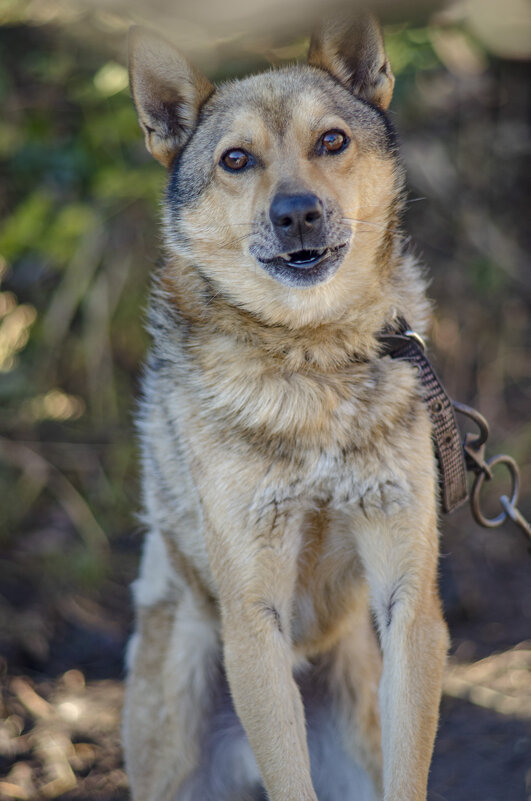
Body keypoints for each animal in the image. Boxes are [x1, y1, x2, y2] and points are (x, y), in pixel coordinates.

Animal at [123, 10, 448, 800]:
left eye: (330, 140)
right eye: (236, 160)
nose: (296, 212)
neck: (312, 359)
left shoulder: (409, 600)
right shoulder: (252, 619)